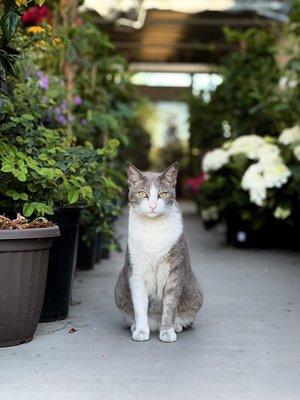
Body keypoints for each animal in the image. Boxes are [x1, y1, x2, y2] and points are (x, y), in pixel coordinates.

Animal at [113, 161, 203, 342]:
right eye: (142, 193)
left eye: (162, 194)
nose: (153, 206)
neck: (152, 229)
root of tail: (154, 323)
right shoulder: (136, 271)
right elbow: (139, 305)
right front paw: (141, 331)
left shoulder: (175, 270)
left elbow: (170, 305)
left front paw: (167, 331)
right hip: (119, 290)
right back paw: (135, 325)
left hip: (196, 294)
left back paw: (176, 326)